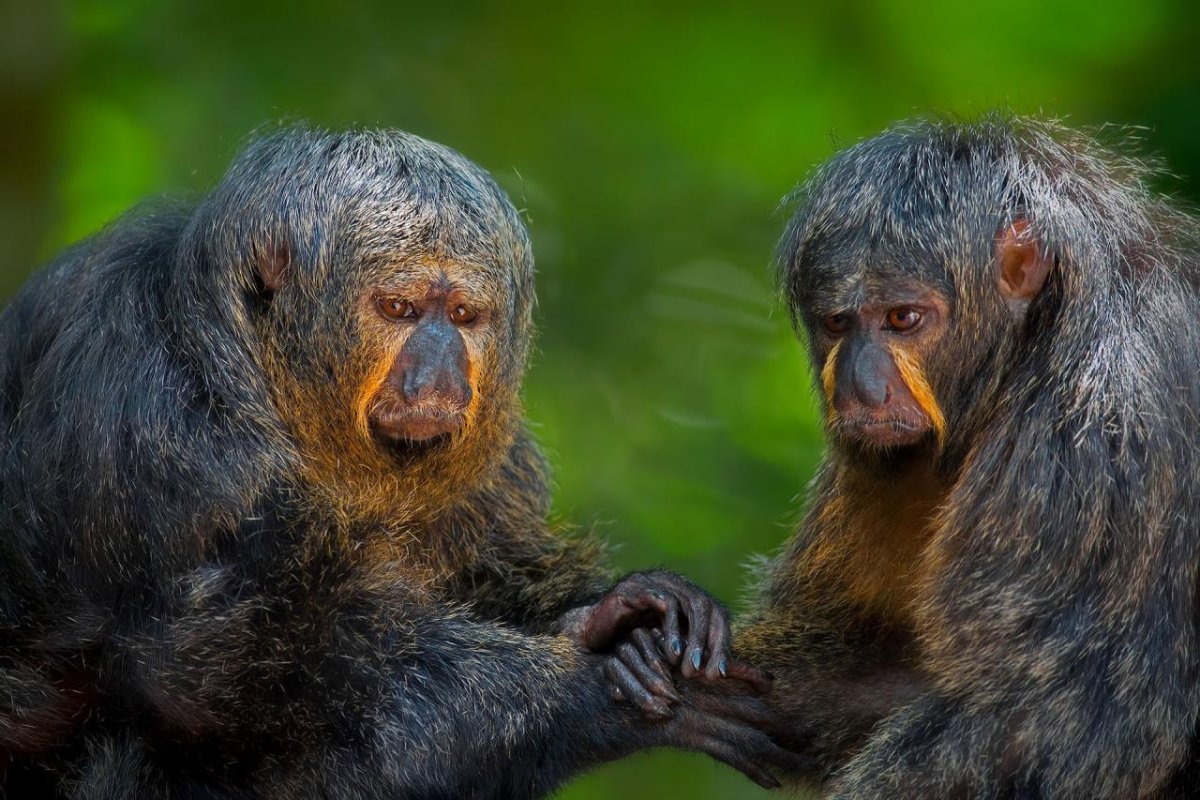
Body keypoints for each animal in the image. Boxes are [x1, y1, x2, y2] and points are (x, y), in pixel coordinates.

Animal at [0, 126, 797, 798]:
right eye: (401, 309)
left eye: (465, 317)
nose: (441, 370)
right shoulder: (150, 413)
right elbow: (212, 669)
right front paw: (589, 692)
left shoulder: (499, 466)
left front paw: (610, 614)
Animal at [727, 115, 1200, 799]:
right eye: (838, 324)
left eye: (903, 318)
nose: (861, 389)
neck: (1033, 345)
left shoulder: (1103, 428)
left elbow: (1055, 723)